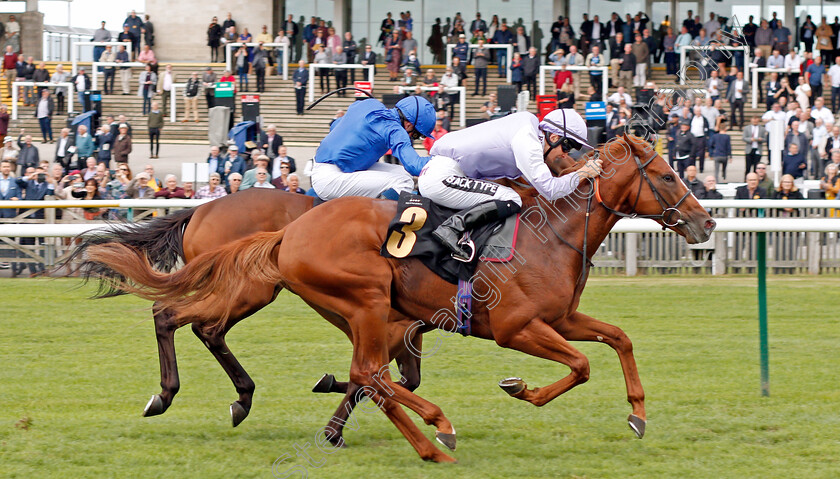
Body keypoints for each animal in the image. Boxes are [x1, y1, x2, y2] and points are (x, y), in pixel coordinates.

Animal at [83, 134, 716, 462]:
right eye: (664, 174)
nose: (706, 222)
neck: (548, 231)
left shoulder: (557, 317)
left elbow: (618, 339)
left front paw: (637, 414)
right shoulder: (514, 327)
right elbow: (581, 364)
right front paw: (519, 388)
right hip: (320, 293)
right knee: (180, 316)